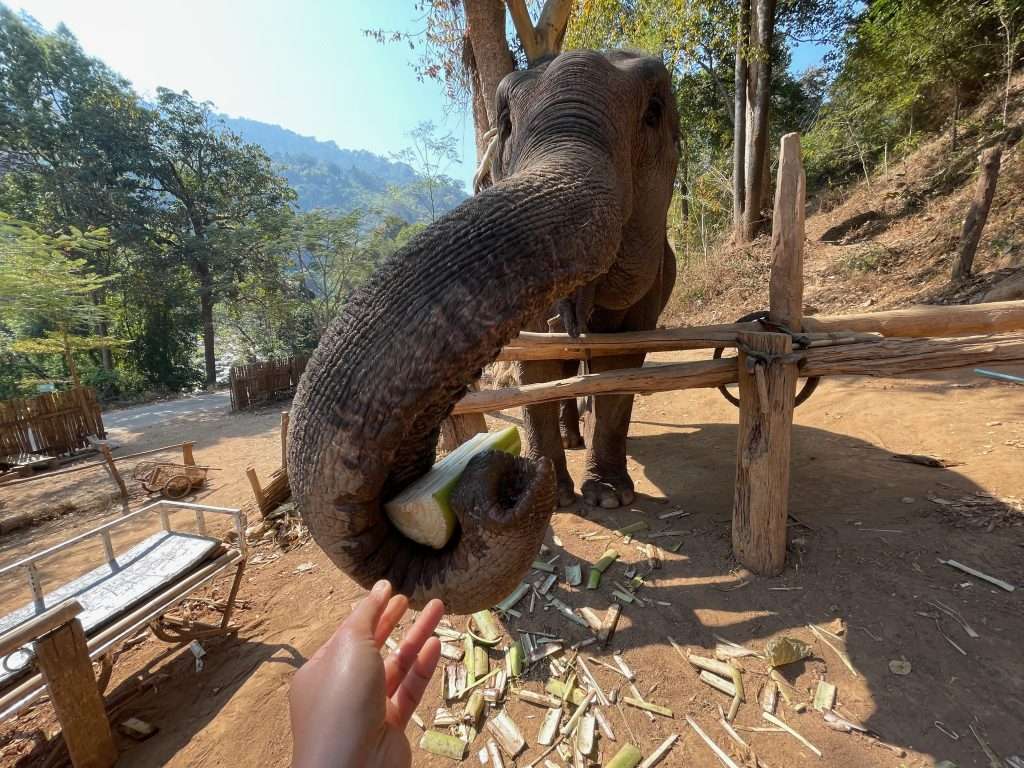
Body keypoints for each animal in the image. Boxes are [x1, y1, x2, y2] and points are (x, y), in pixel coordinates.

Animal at [288, 49, 680, 614]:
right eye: (507, 123)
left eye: (652, 113)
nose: (511, 477)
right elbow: (538, 365)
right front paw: (561, 494)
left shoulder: (654, 285)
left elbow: (620, 365)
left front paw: (608, 496)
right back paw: (568, 438)